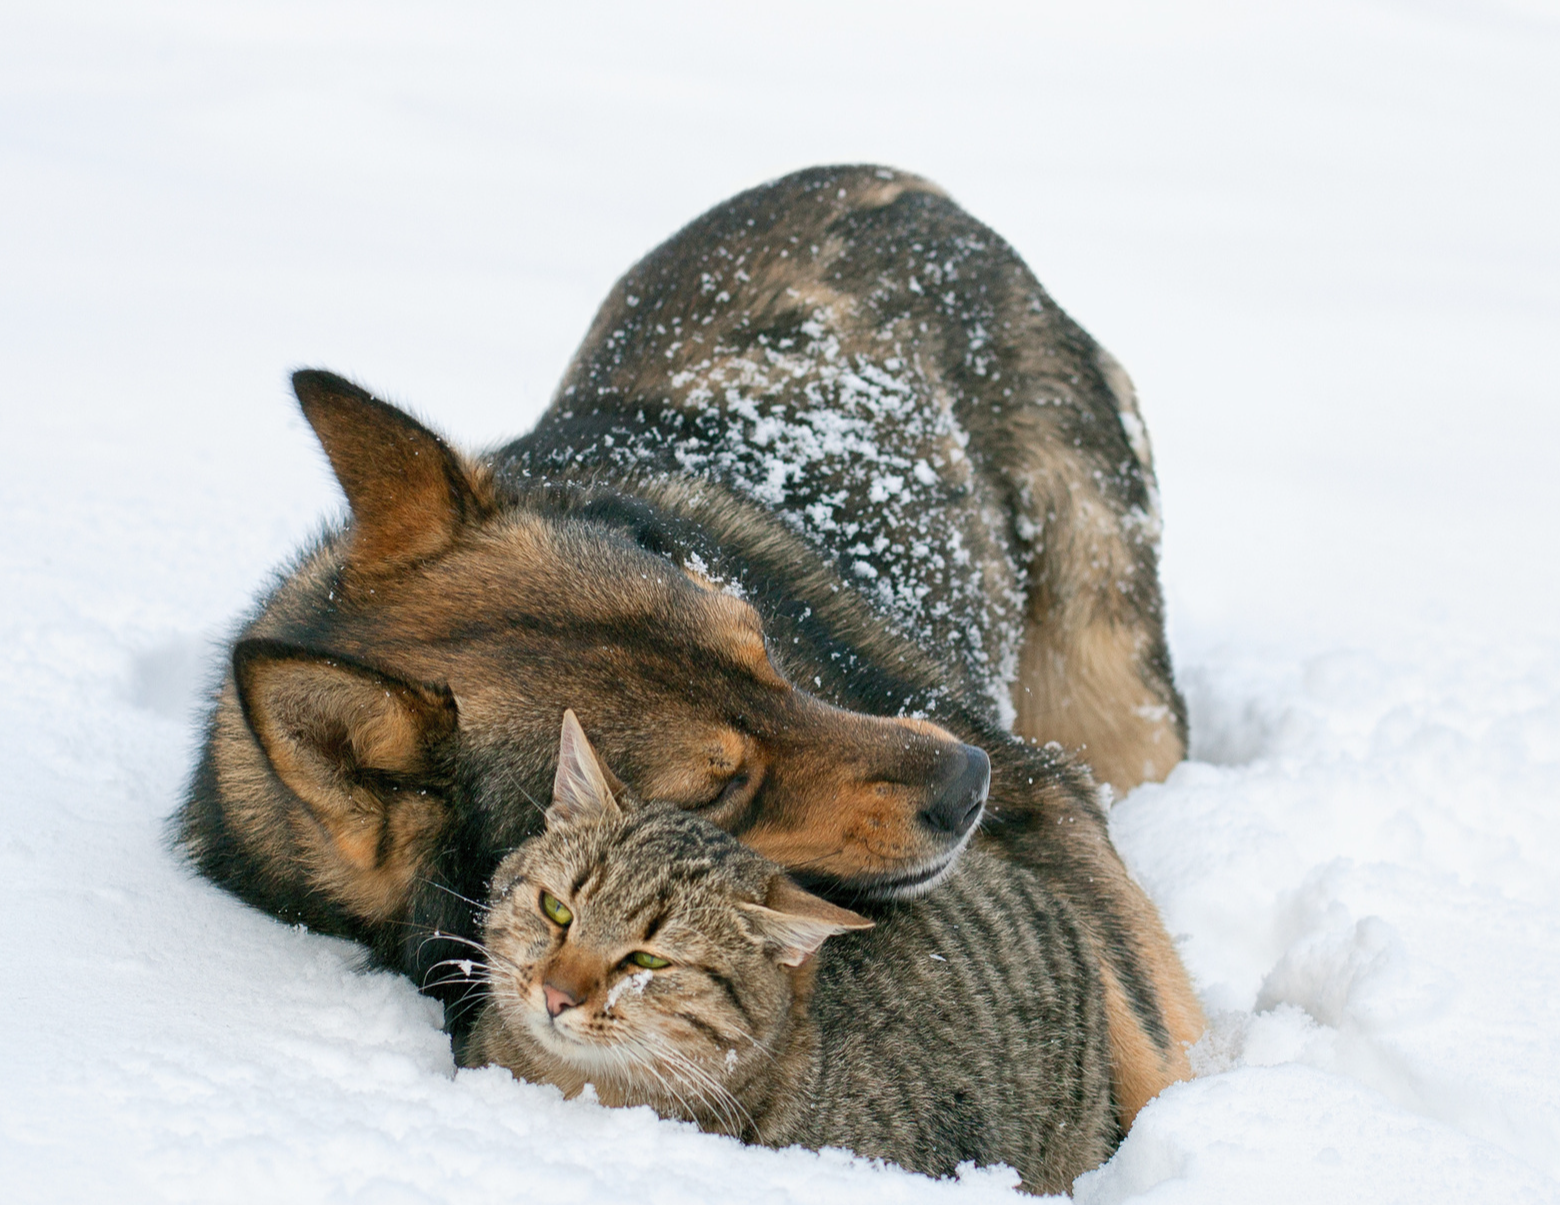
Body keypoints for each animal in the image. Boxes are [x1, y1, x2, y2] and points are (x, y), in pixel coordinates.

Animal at [179, 164, 1204, 1123]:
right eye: (717, 788)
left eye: (762, 648)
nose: (973, 784)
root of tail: (884, 179)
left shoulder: (1053, 809)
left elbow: (1157, 1043)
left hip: (1114, 710)